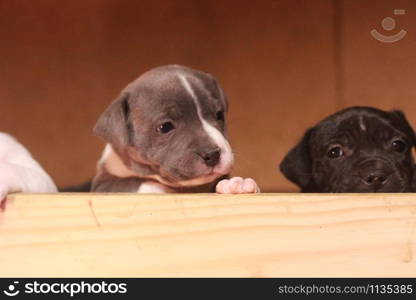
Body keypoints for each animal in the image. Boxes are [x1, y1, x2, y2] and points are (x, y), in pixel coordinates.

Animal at [92, 64, 258, 193]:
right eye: (165, 127)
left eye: (219, 115)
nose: (212, 154)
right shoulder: (102, 187)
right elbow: (135, 183)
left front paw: (236, 185)